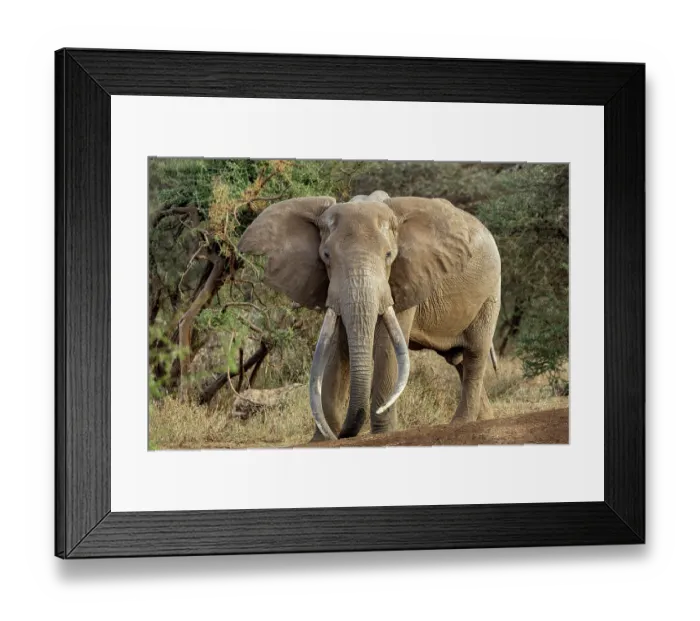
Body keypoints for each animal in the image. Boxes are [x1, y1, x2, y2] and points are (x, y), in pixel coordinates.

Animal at [238, 190, 501, 441]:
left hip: (491, 291)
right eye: (326, 256)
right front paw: (320, 440)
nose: (342, 434)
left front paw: (382, 433)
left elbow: (386, 345)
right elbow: (337, 346)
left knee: (475, 353)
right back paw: (486, 419)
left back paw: (462, 423)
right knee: (458, 360)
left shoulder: (405, 279)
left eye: (389, 255)